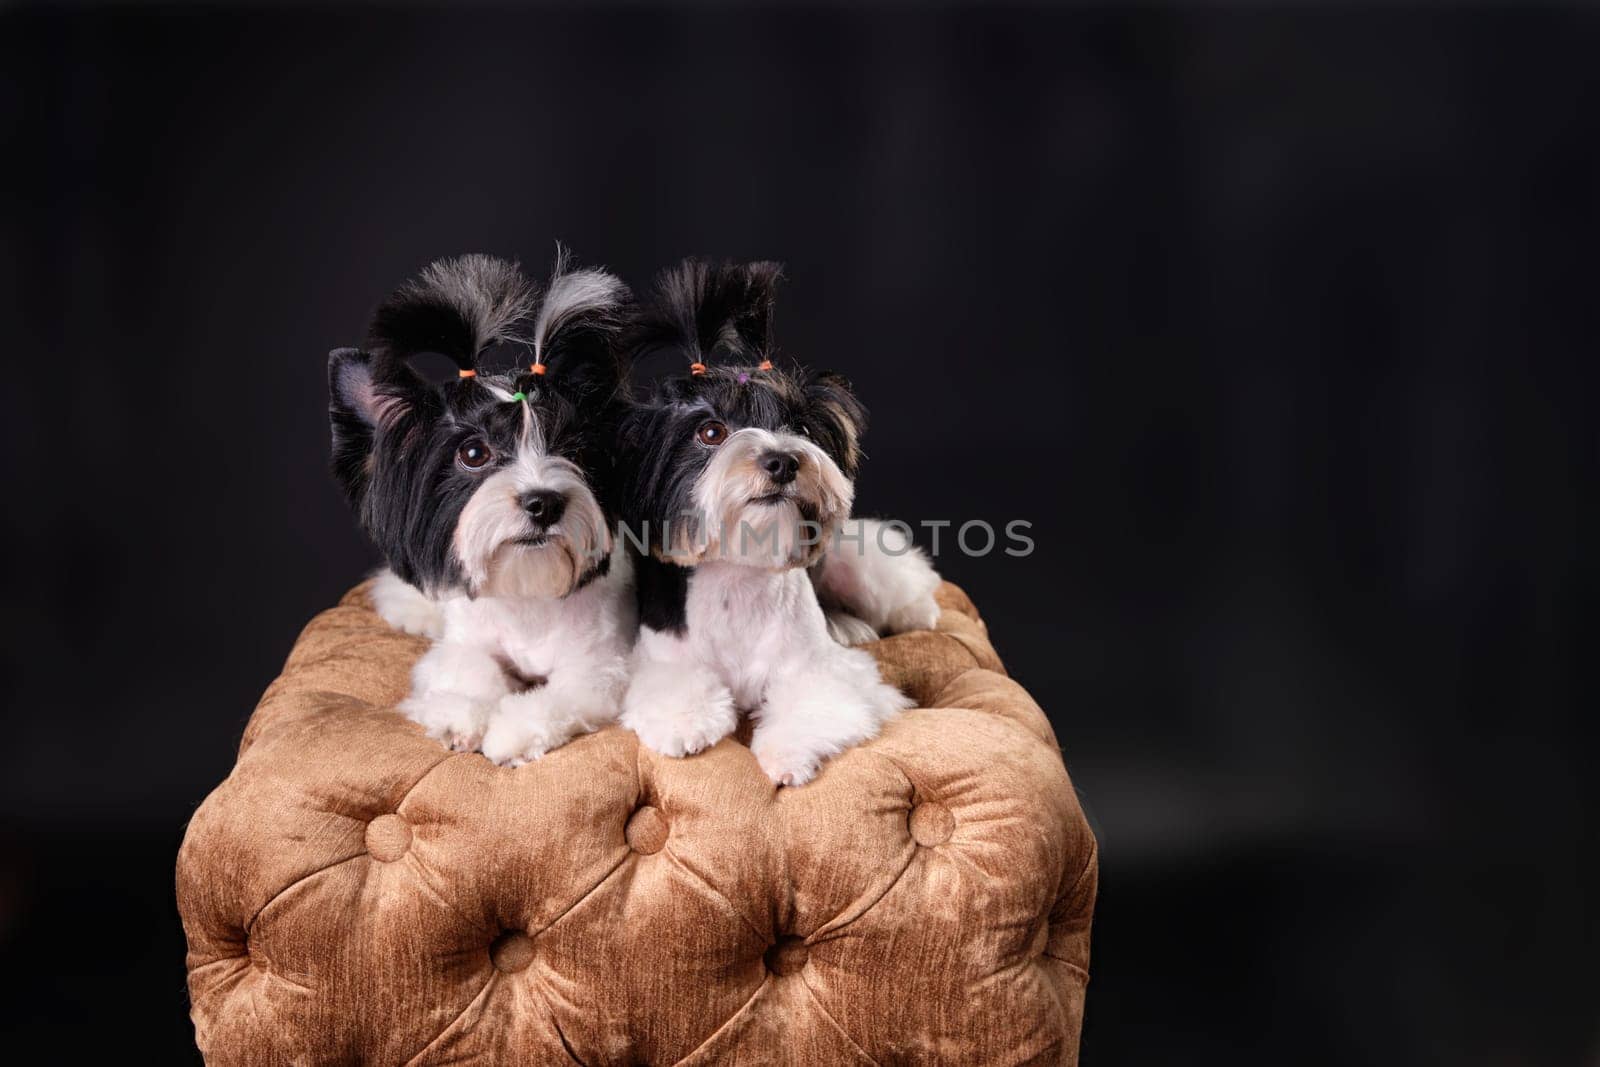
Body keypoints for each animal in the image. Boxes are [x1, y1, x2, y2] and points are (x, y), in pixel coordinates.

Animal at [328, 252, 633, 767]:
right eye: (474, 453)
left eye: (574, 450)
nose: (544, 502)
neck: (526, 592)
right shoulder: (464, 644)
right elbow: (465, 669)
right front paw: (461, 716)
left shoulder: (600, 664)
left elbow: (563, 694)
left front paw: (512, 731)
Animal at [611, 260, 915, 783]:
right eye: (711, 432)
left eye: (802, 428)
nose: (783, 460)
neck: (741, 575)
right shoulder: (662, 659)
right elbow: (677, 691)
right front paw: (683, 725)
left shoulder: (819, 669)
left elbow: (817, 699)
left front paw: (786, 753)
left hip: (855, 567)